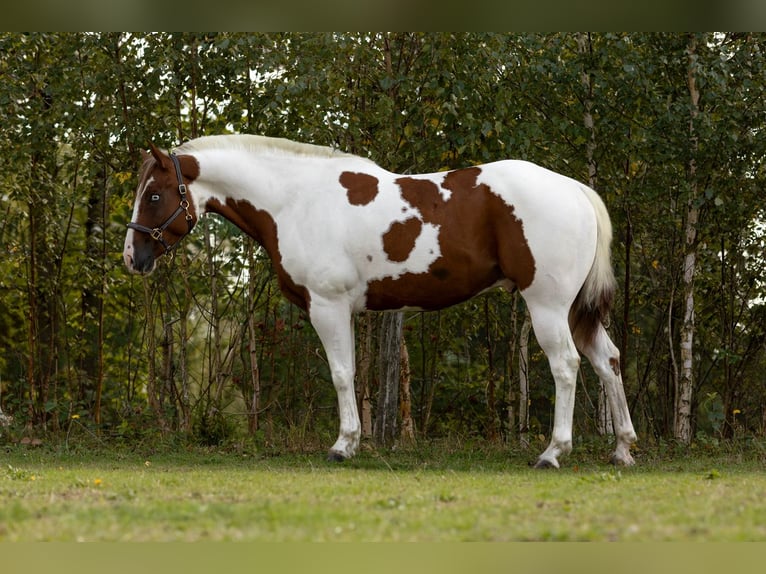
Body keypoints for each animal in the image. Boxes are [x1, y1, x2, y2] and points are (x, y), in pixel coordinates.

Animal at [123, 134, 637, 468]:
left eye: (154, 194)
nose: (132, 257)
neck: (296, 199)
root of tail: (574, 189)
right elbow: (350, 373)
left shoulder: (327, 307)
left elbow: (341, 374)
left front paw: (343, 445)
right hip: (576, 311)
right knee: (607, 360)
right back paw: (623, 449)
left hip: (548, 305)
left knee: (567, 366)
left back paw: (552, 453)